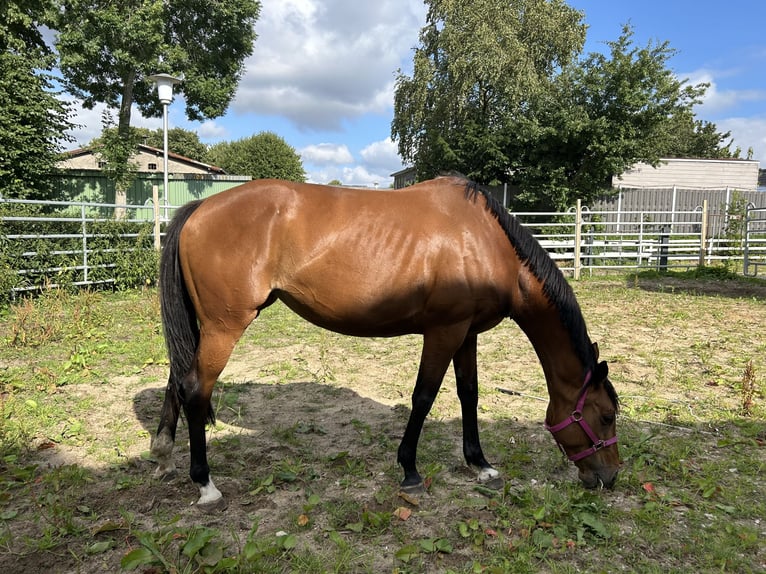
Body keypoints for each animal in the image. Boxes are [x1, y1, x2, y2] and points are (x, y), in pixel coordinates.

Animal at [151, 175, 620, 511]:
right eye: (607, 416)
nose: (610, 478)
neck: (485, 241)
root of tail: (199, 208)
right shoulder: (444, 331)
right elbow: (424, 397)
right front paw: (410, 469)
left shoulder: (466, 333)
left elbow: (468, 394)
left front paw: (480, 464)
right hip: (224, 327)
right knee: (196, 389)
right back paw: (206, 484)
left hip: (207, 328)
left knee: (179, 379)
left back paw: (163, 452)